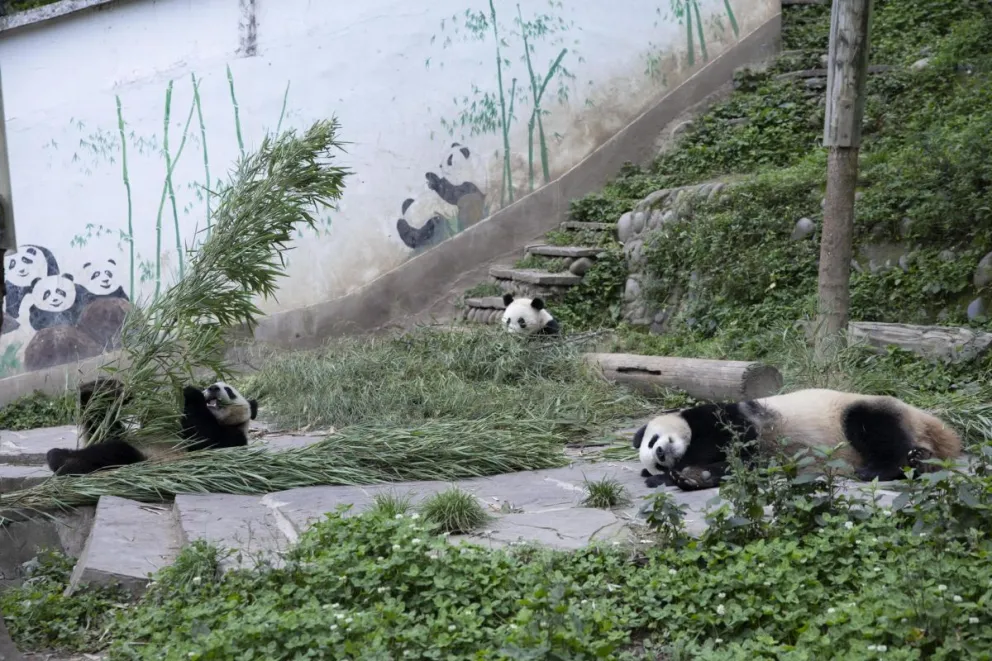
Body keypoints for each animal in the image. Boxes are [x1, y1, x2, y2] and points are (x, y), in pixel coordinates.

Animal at [45, 378, 260, 476]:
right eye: (211, 385)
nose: (212, 388)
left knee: (113, 452)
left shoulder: (233, 438)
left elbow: (203, 440)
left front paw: (191, 393)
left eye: (229, 390)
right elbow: (112, 428)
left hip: (143, 457)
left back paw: (66, 463)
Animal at [632, 388, 962, 492]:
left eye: (652, 440)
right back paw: (919, 460)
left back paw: (877, 469)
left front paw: (688, 470)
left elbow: (739, 445)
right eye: (655, 461)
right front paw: (686, 476)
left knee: (872, 427)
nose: (661, 454)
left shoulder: (724, 417)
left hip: (864, 409)